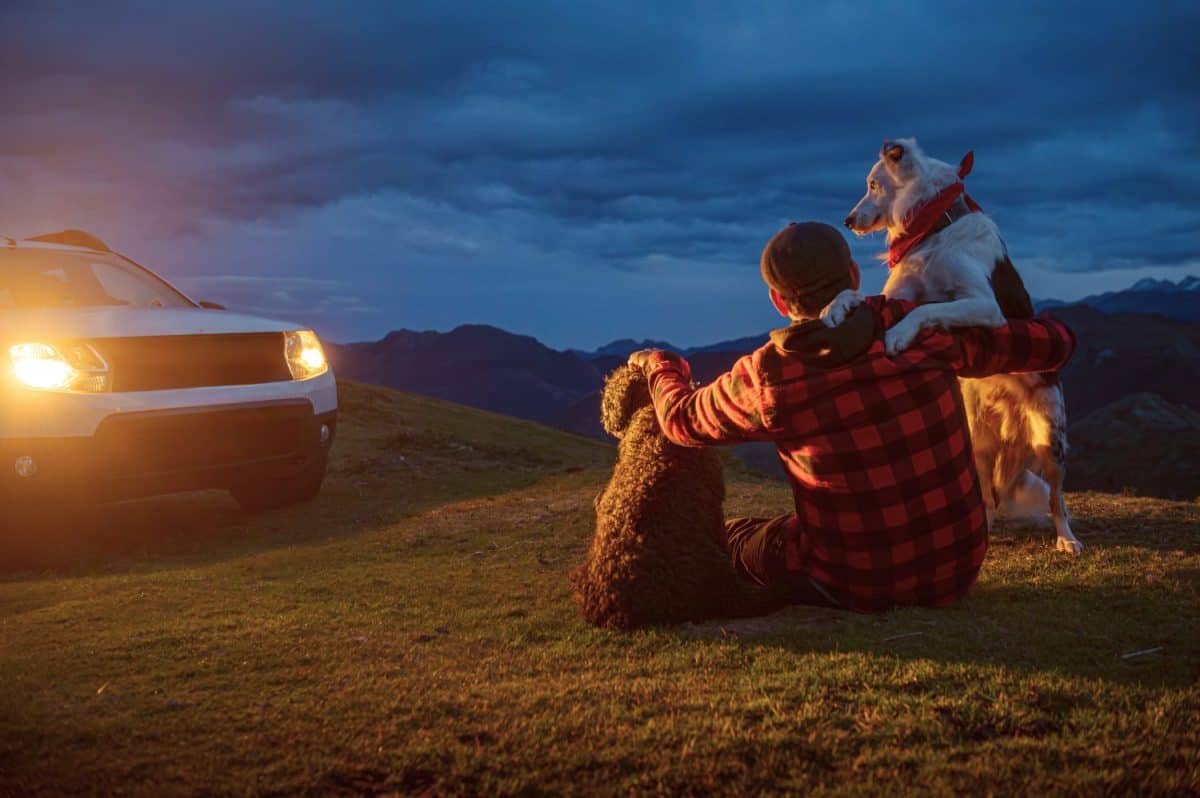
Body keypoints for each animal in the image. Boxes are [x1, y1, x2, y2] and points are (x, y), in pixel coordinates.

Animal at [820, 138, 1084, 554]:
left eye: (873, 184)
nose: (847, 221)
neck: (933, 229)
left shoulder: (985, 306)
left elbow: (927, 310)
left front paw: (898, 335)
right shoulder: (898, 294)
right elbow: (857, 295)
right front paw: (833, 307)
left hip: (1049, 437)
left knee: (1057, 499)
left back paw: (1067, 539)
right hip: (978, 442)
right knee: (989, 499)